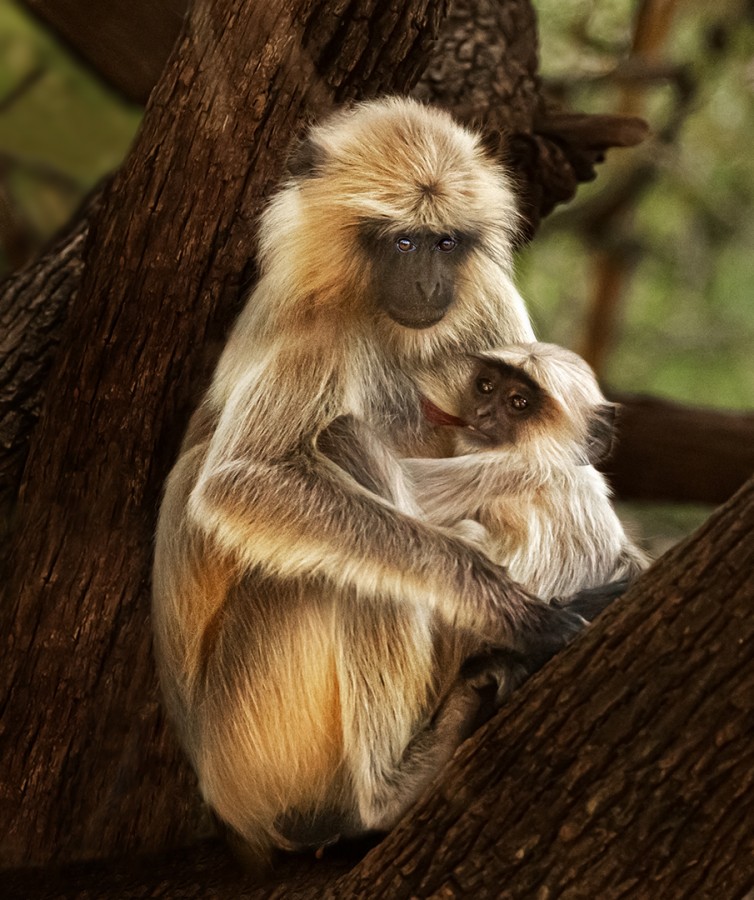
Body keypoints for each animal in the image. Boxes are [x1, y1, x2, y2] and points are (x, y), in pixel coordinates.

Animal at [153, 96, 616, 864]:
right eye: (404, 243)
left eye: (445, 243)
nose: (430, 284)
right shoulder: (310, 328)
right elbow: (242, 484)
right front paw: (511, 607)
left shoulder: (484, 298)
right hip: (254, 740)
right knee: (346, 503)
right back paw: (387, 792)